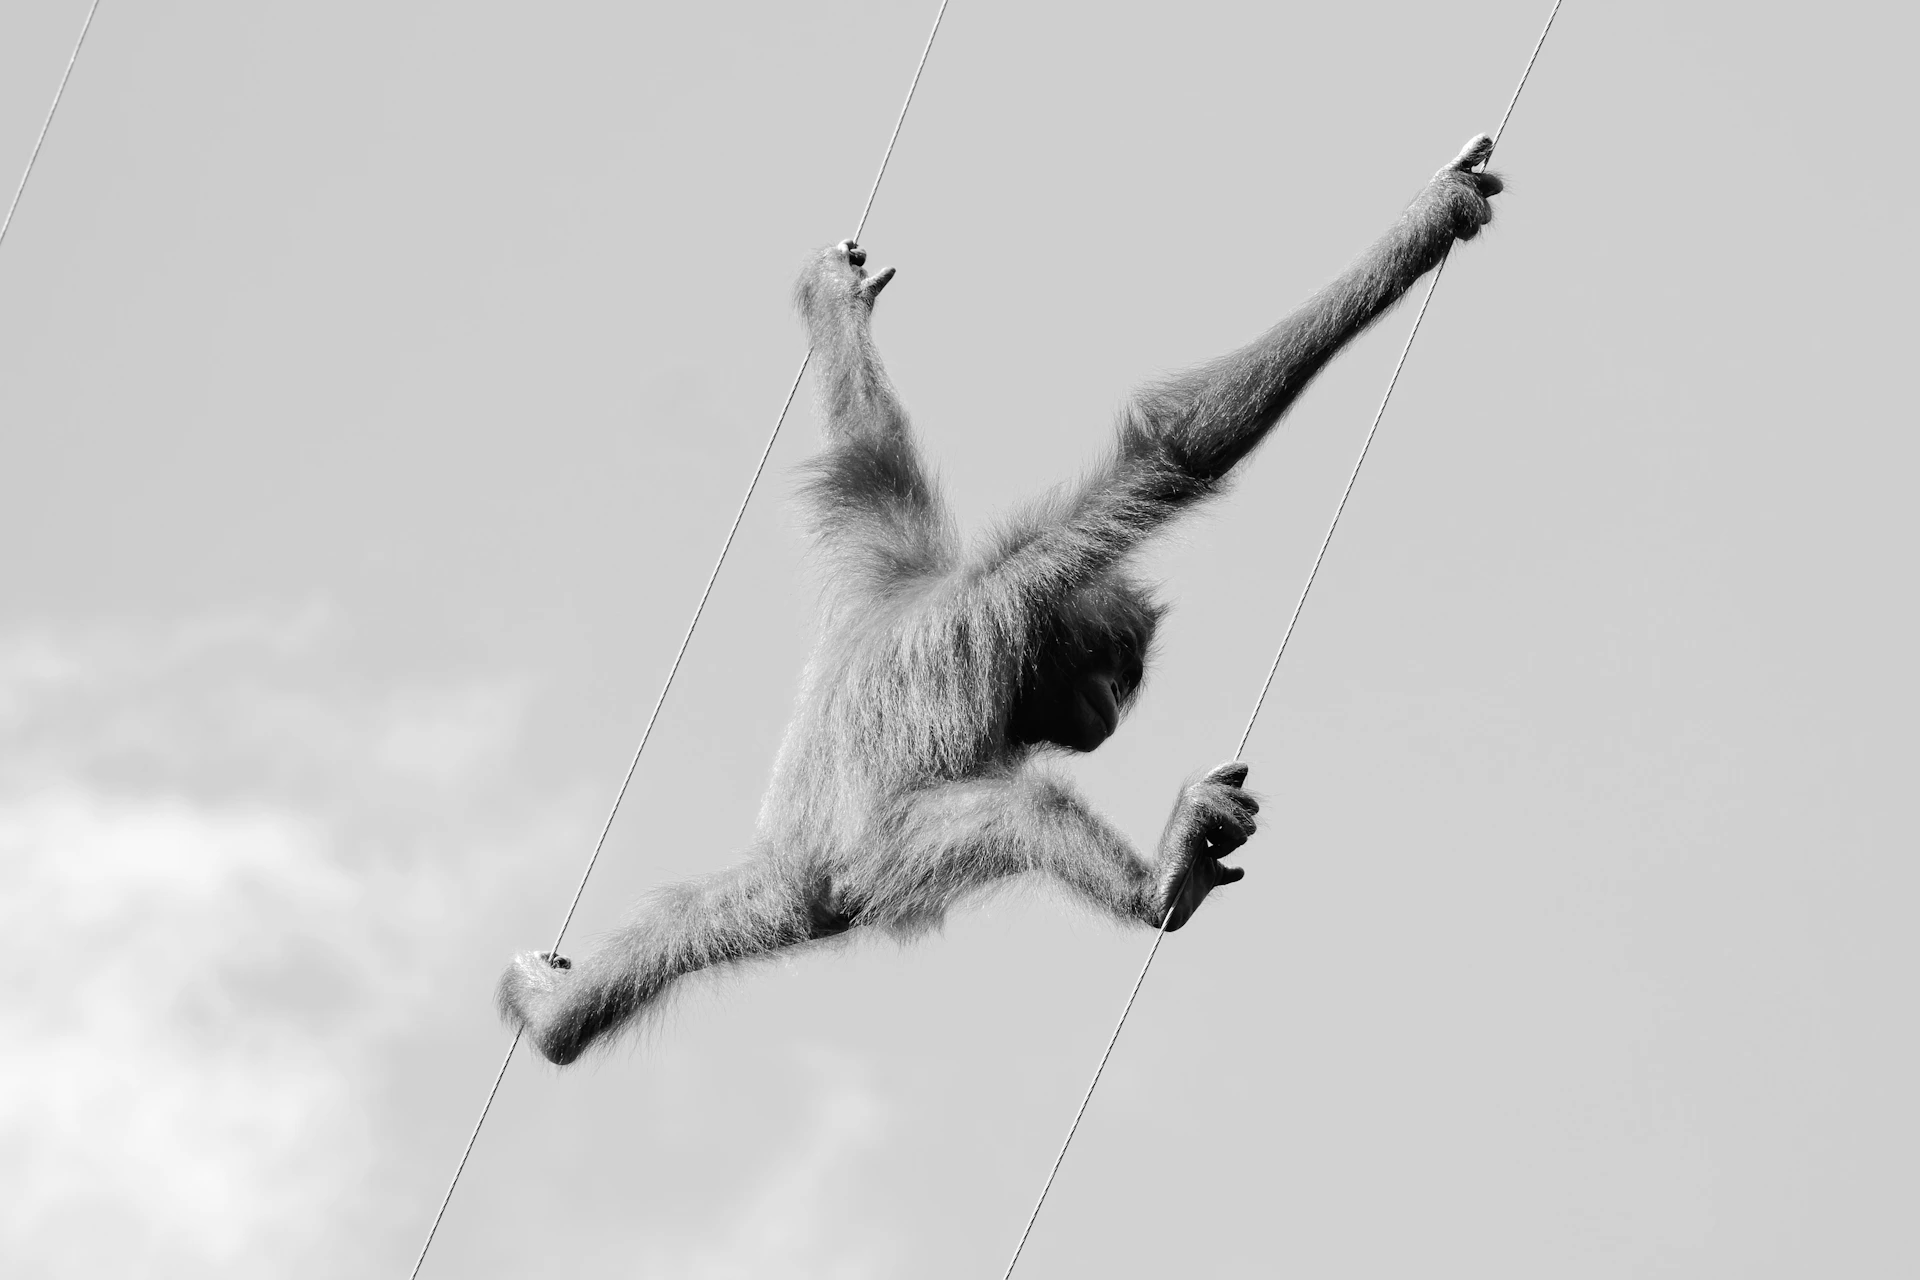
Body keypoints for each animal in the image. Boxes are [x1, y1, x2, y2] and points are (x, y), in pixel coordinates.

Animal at [499, 135, 1504, 1065]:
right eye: (1114, 677)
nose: (1112, 709)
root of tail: (800, 872)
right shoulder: (1022, 584)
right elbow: (1179, 449)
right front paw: (1429, 220)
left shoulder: (888, 547)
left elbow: (865, 437)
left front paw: (834, 300)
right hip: (881, 859)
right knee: (1013, 814)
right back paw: (1158, 884)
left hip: (789, 888)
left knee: (687, 923)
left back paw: (557, 1017)